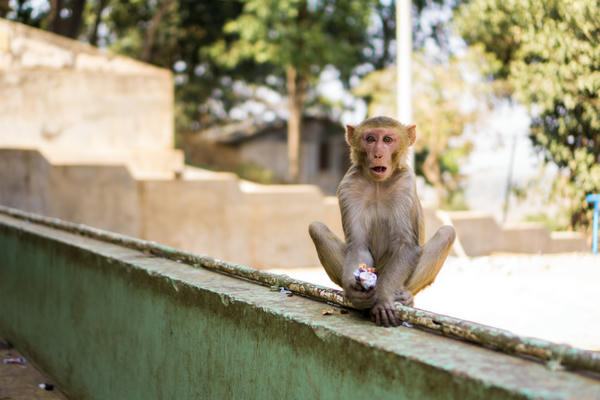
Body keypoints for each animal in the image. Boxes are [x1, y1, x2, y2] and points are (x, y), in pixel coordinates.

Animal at [310, 115, 454, 328]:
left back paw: (404, 297)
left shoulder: (405, 184)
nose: (378, 154)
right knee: (316, 228)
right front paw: (356, 292)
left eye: (387, 139)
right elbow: (358, 245)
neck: (378, 183)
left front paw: (384, 298)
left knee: (447, 233)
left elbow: (405, 245)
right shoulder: (349, 186)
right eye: (370, 139)